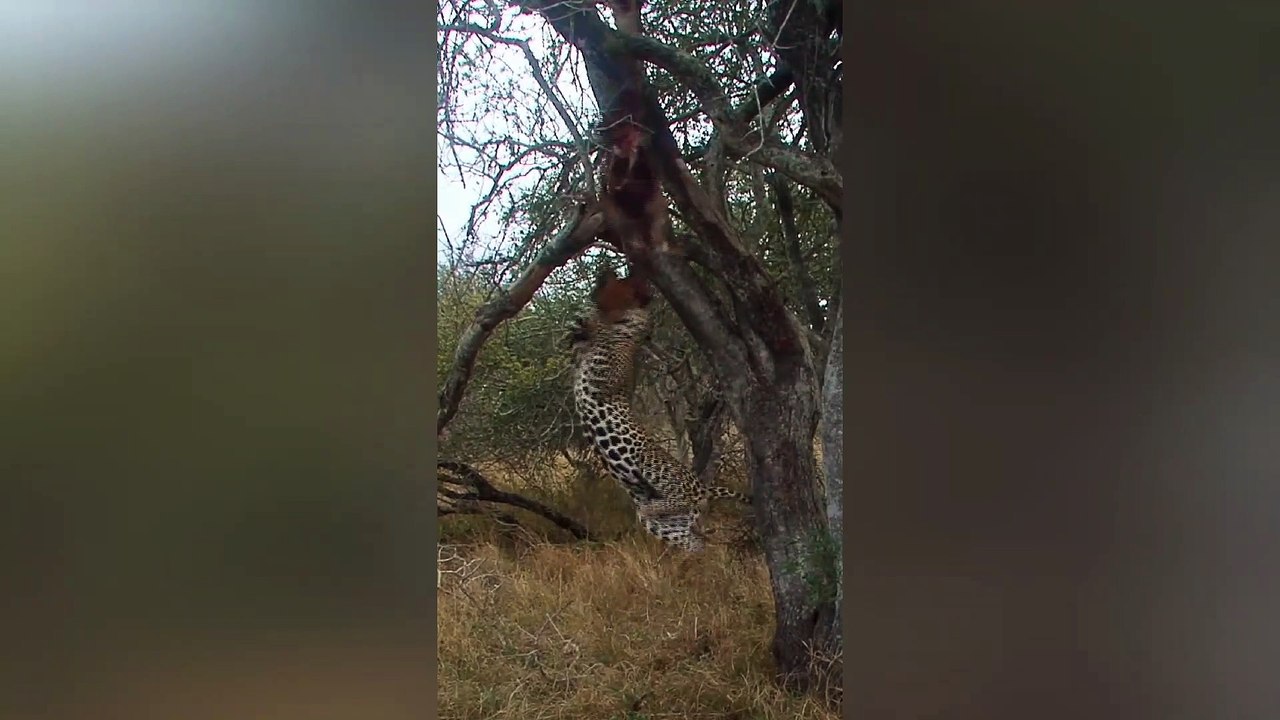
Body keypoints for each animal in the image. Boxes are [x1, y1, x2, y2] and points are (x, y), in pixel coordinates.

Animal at [567, 267, 750, 552]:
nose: (606, 270)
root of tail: (701, 485)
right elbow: (580, 348)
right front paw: (581, 325)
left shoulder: (603, 370)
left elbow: (607, 340)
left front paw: (592, 323)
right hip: (670, 525)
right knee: (696, 540)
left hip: (648, 464)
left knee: (678, 500)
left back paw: (651, 507)